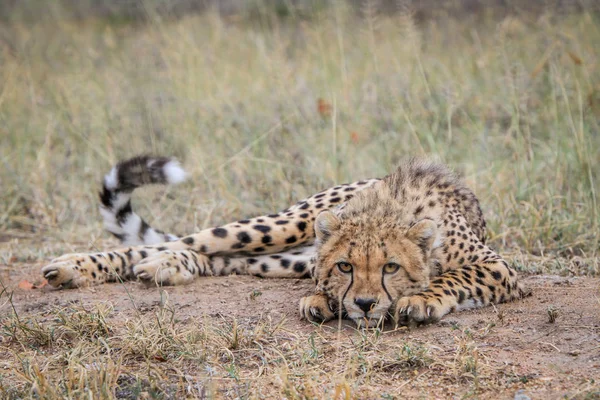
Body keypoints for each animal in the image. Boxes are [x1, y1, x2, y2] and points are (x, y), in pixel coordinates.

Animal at [43, 155, 524, 326]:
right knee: (186, 241)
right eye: (346, 266)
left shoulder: (500, 268)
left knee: (210, 256)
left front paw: (420, 299)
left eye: (391, 267)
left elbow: (453, 278)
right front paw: (323, 300)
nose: (365, 304)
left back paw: (168, 267)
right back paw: (73, 266)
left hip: (279, 256)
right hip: (288, 224)